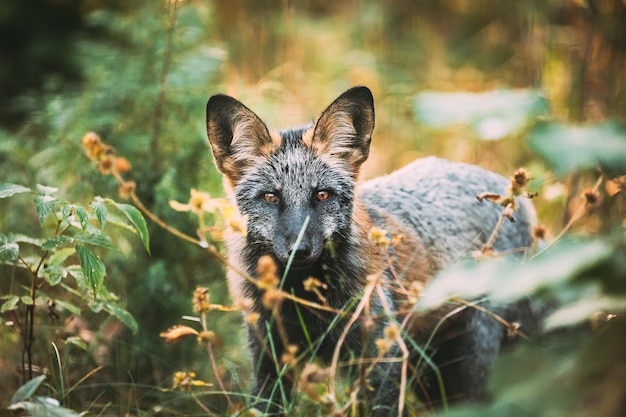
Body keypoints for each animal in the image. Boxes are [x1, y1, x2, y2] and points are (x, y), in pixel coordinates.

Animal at [205, 86, 536, 414]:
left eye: (322, 195)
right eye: (270, 197)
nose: (299, 250)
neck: (306, 301)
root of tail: (509, 191)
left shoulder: (381, 353)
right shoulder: (268, 354)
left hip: (472, 362)